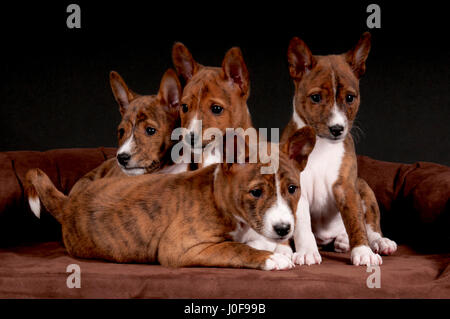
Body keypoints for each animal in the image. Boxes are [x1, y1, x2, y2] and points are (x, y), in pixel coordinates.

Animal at [24, 126, 316, 272]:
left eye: (292, 189)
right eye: (256, 192)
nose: (284, 229)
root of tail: (69, 202)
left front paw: (279, 248)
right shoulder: (180, 248)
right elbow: (234, 248)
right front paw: (271, 257)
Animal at [284, 32, 396, 268]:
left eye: (350, 98)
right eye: (316, 98)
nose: (337, 129)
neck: (321, 146)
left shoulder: (346, 187)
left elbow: (356, 221)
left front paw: (363, 251)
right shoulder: (297, 190)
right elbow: (303, 226)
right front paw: (307, 252)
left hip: (363, 187)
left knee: (371, 225)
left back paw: (377, 242)